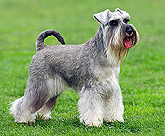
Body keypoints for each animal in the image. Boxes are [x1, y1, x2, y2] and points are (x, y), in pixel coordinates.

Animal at [10, 8, 139, 126]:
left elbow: (114, 104)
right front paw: (93, 122)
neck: (105, 55)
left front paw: (114, 119)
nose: (129, 30)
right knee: (25, 102)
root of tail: (42, 47)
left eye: (126, 20)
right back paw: (23, 119)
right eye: (113, 22)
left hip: (51, 89)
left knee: (44, 104)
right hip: (39, 86)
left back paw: (42, 117)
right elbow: (92, 107)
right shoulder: (91, 88)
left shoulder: (113, 88)